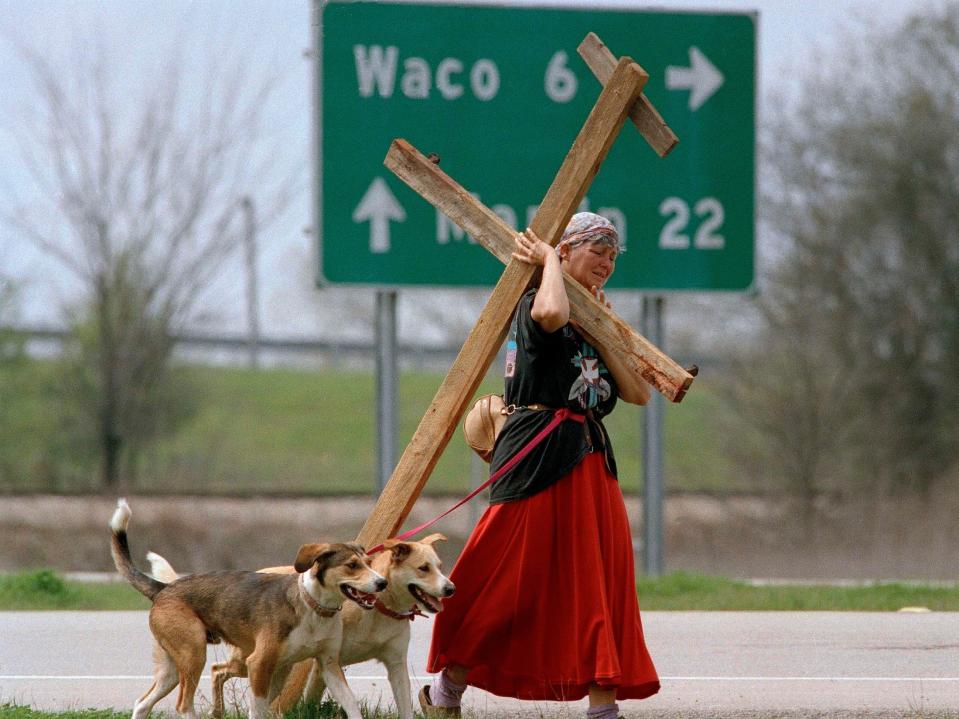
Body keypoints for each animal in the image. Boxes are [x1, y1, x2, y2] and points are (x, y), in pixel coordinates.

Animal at [110, 500, 384, 719]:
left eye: (369, 563)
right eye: (352, 565)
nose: (382, 582)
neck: (312, 606)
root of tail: (165, 588)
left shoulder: (329, 665)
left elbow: (350, 703)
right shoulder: (259, 664)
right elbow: (258, 710)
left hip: (174, 669)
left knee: (143, 703)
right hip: (194, 656)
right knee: (183, 705)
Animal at [151, 532, 458, 716]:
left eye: (440, 566)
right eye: (423, 568)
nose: (451, 588)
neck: (379, 609)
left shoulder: (394, 664)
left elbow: (403, 703)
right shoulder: (323, 663)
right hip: (246, 660)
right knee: (218, 670)